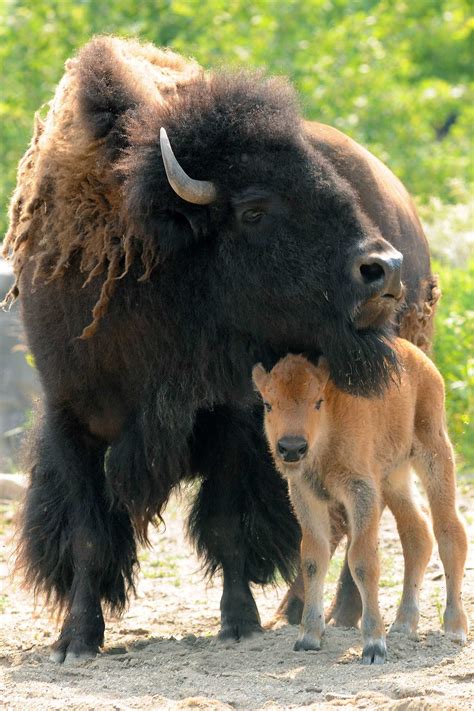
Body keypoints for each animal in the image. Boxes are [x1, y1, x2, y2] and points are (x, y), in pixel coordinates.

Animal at [3, 37, 438, 660]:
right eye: (254, 210)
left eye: (329, 185)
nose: (384, 270)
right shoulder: (73, 420)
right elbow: (89, 536)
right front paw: (75, 640)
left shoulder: (237, 416)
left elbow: (230, 524)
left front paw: (238, 623)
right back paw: (301, 612)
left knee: (352, 514)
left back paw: (334, 614)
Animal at [254, 342, 468, 664]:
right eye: (268, 404)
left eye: (317, 402)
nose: (292, 448)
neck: (327, 431)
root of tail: (420, 358)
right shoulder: (306, 495)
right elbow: (313, 559)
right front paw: (308, 637)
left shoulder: (361, 492)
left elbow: (363, 560)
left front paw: (374, 646)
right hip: (393, 478)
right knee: (417, 535)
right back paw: (403, 624)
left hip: (433, 453)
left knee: (449, 531)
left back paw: (455, 628)